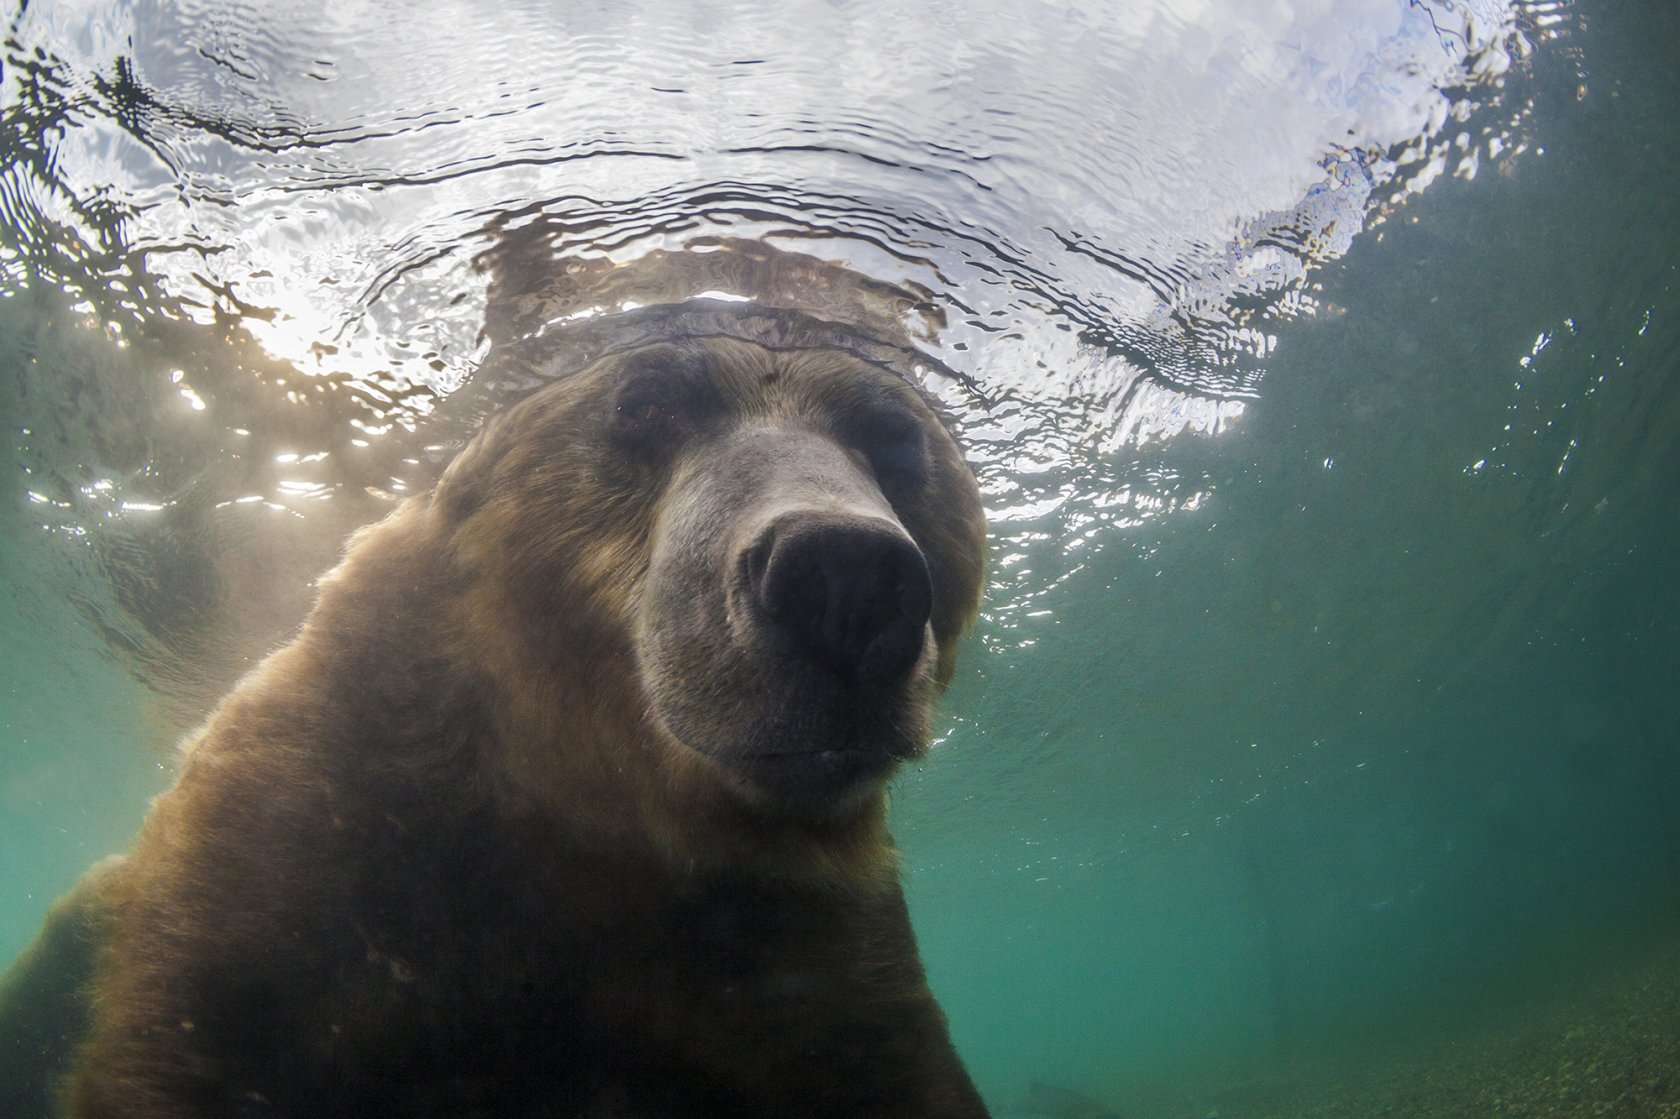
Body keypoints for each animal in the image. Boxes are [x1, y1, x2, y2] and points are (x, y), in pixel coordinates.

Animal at [32, 336, 987, 1108]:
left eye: (894, 435)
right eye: (649, 401)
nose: (847, 575)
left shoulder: (797, 945)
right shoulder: (315, 836)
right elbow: (197, 1039)